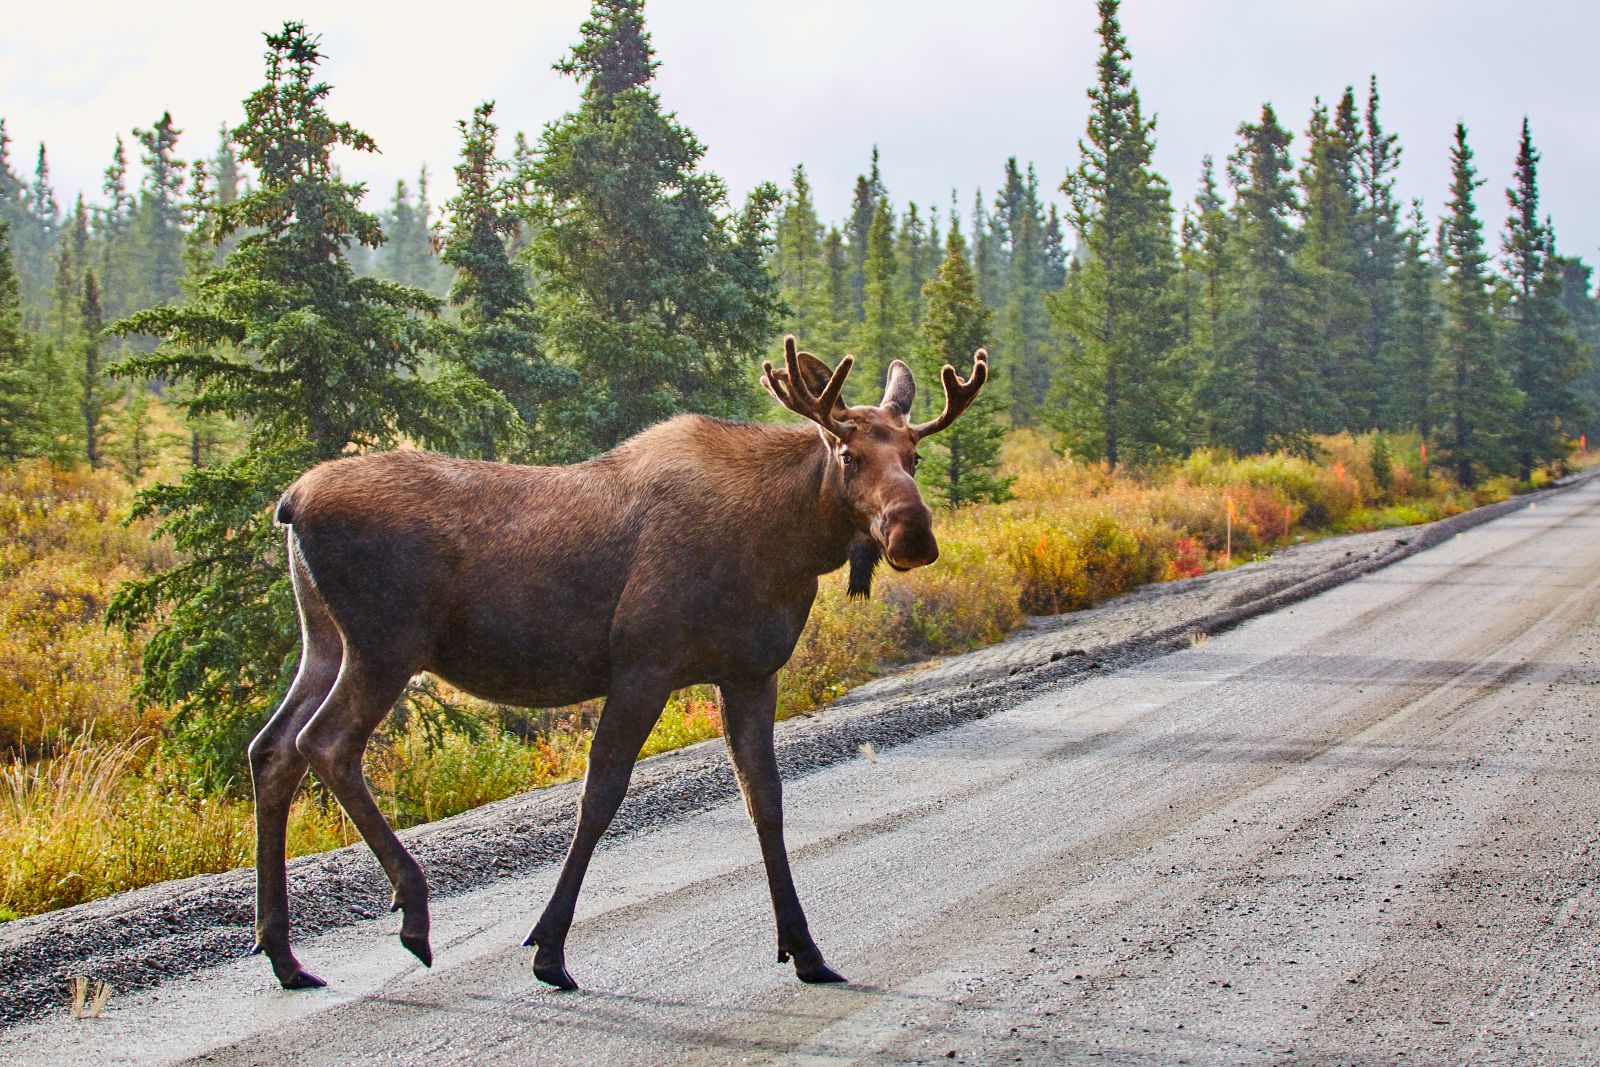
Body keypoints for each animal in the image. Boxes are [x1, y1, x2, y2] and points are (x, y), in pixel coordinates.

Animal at [249, 337, 985, 991]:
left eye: (915, 453)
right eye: (848, 452)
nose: (913, 532)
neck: (785, 545)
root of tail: (290, 502)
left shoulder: (750, 672)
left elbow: (765, 799)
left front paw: (805, 949)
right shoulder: (643, 664)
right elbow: (600, 795)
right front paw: (549, 949)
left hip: (325, 641)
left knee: (272, 748)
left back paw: (284, 956)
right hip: (386, 645)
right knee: (325, 744)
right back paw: (412, 912)